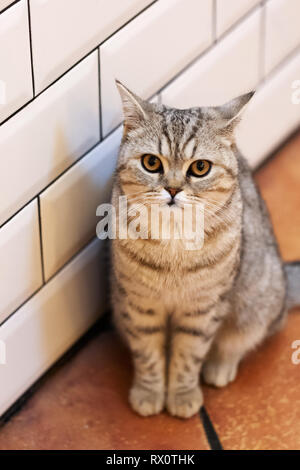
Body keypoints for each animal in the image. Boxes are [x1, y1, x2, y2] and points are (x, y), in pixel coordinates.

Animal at [109, 81, 300, 418]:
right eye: (151, 163)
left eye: (200, 167)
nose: (172, 189)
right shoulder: (139, 305)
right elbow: (147, 354)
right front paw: (149, 391)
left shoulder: (202, 309)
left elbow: (188, 356)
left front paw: (183, 394)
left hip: (255, 309)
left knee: (239, 341)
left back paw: (220, 366)